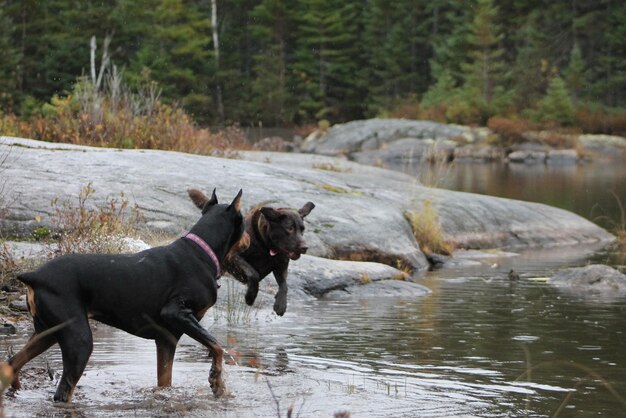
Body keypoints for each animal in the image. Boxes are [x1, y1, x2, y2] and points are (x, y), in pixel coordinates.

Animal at [7, 188, 247, 400]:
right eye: (245, 225)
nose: (249, 240)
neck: (202, 252)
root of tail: (34, 276)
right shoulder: (175, 313)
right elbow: (217, 346)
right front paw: (217, 381)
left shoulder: (166, 339)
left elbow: (165, 381)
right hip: (79, 339)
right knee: (62, 393)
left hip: (46, 332)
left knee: (12, 363)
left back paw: (14, 386)